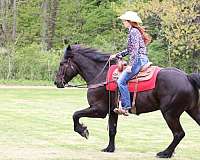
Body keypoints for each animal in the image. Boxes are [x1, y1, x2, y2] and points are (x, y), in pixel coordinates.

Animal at [54, 44, 200, 158]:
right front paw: (109, 149)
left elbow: (75, 114)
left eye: (62, 63)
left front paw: (83, 130)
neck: (100, 75)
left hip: (170, 114)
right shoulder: (113, 111)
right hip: (192, 110)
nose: (56, 82)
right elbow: (112, 130)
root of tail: (187, 77)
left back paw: (165, 153)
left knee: (178, 134)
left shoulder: (99, 110)